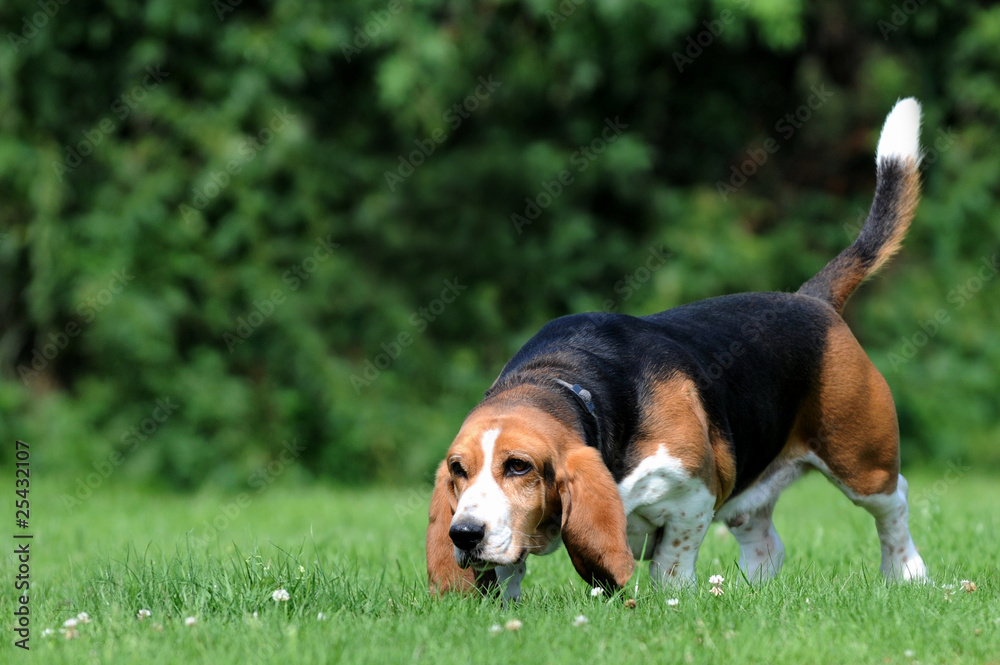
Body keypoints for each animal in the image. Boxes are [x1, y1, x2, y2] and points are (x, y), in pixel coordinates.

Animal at [426, 100, 924, 600]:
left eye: (518, 466)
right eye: (457, 469)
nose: (464, 534)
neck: (567, 381)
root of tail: (812, 299)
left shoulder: (693, 499)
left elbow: (671, 563)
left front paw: (673, 600)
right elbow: (508, 571)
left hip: (861, 462)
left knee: (894, 504)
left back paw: (907, 572)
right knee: (767, 544)